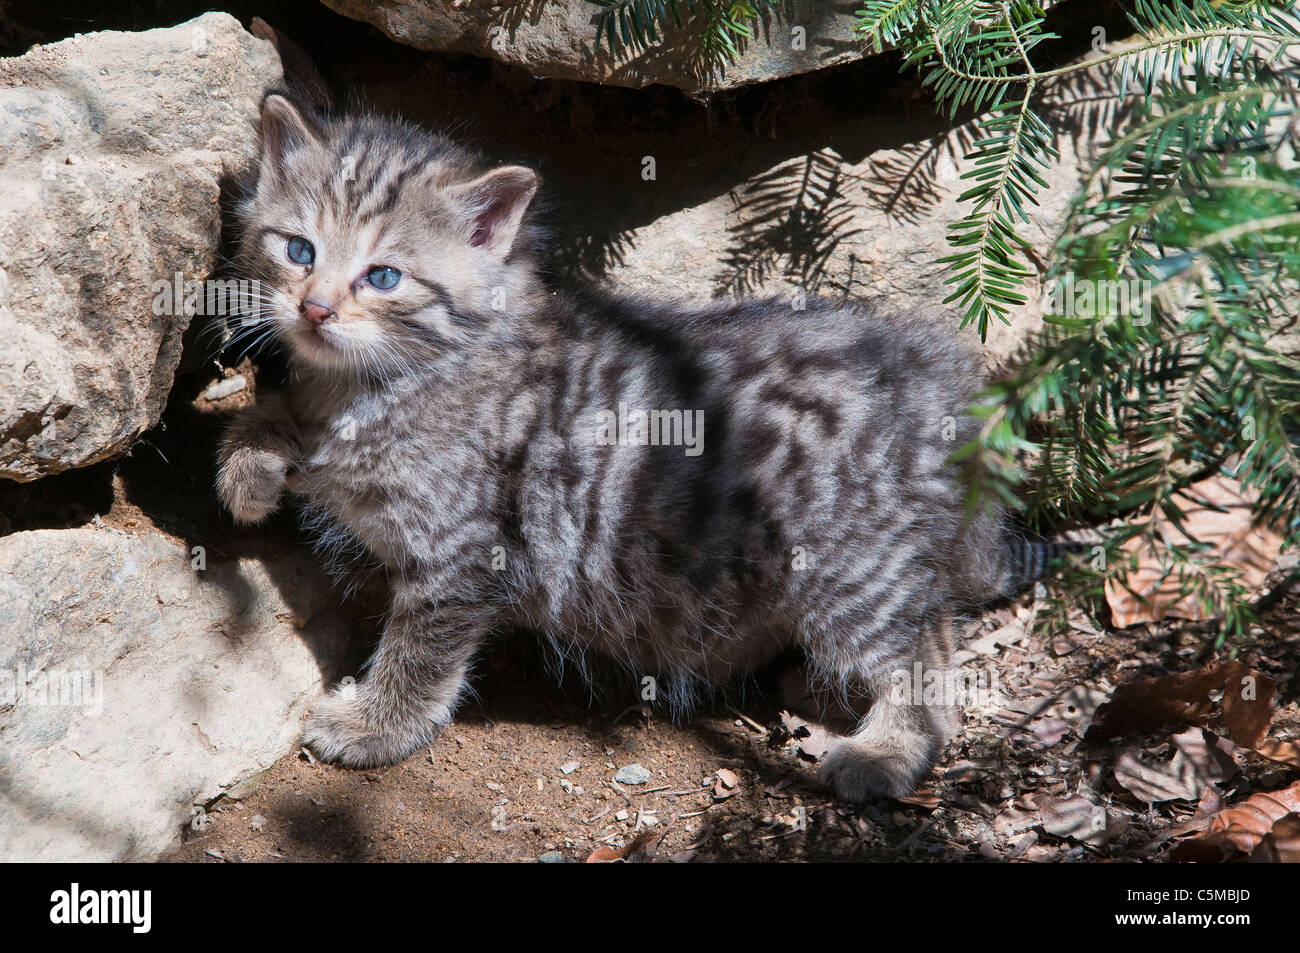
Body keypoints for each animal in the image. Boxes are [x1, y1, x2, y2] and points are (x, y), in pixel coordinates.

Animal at [220, 94, 1034, 795]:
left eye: (383, 276)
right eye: (299, 249)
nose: (315, 309)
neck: (384, 381)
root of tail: (940, 377)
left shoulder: (462, 555)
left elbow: (421, 652)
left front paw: (375, 726)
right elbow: (276, 420)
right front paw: (249, 469)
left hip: (851, 565)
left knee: (927, 649)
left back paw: (887, 749)